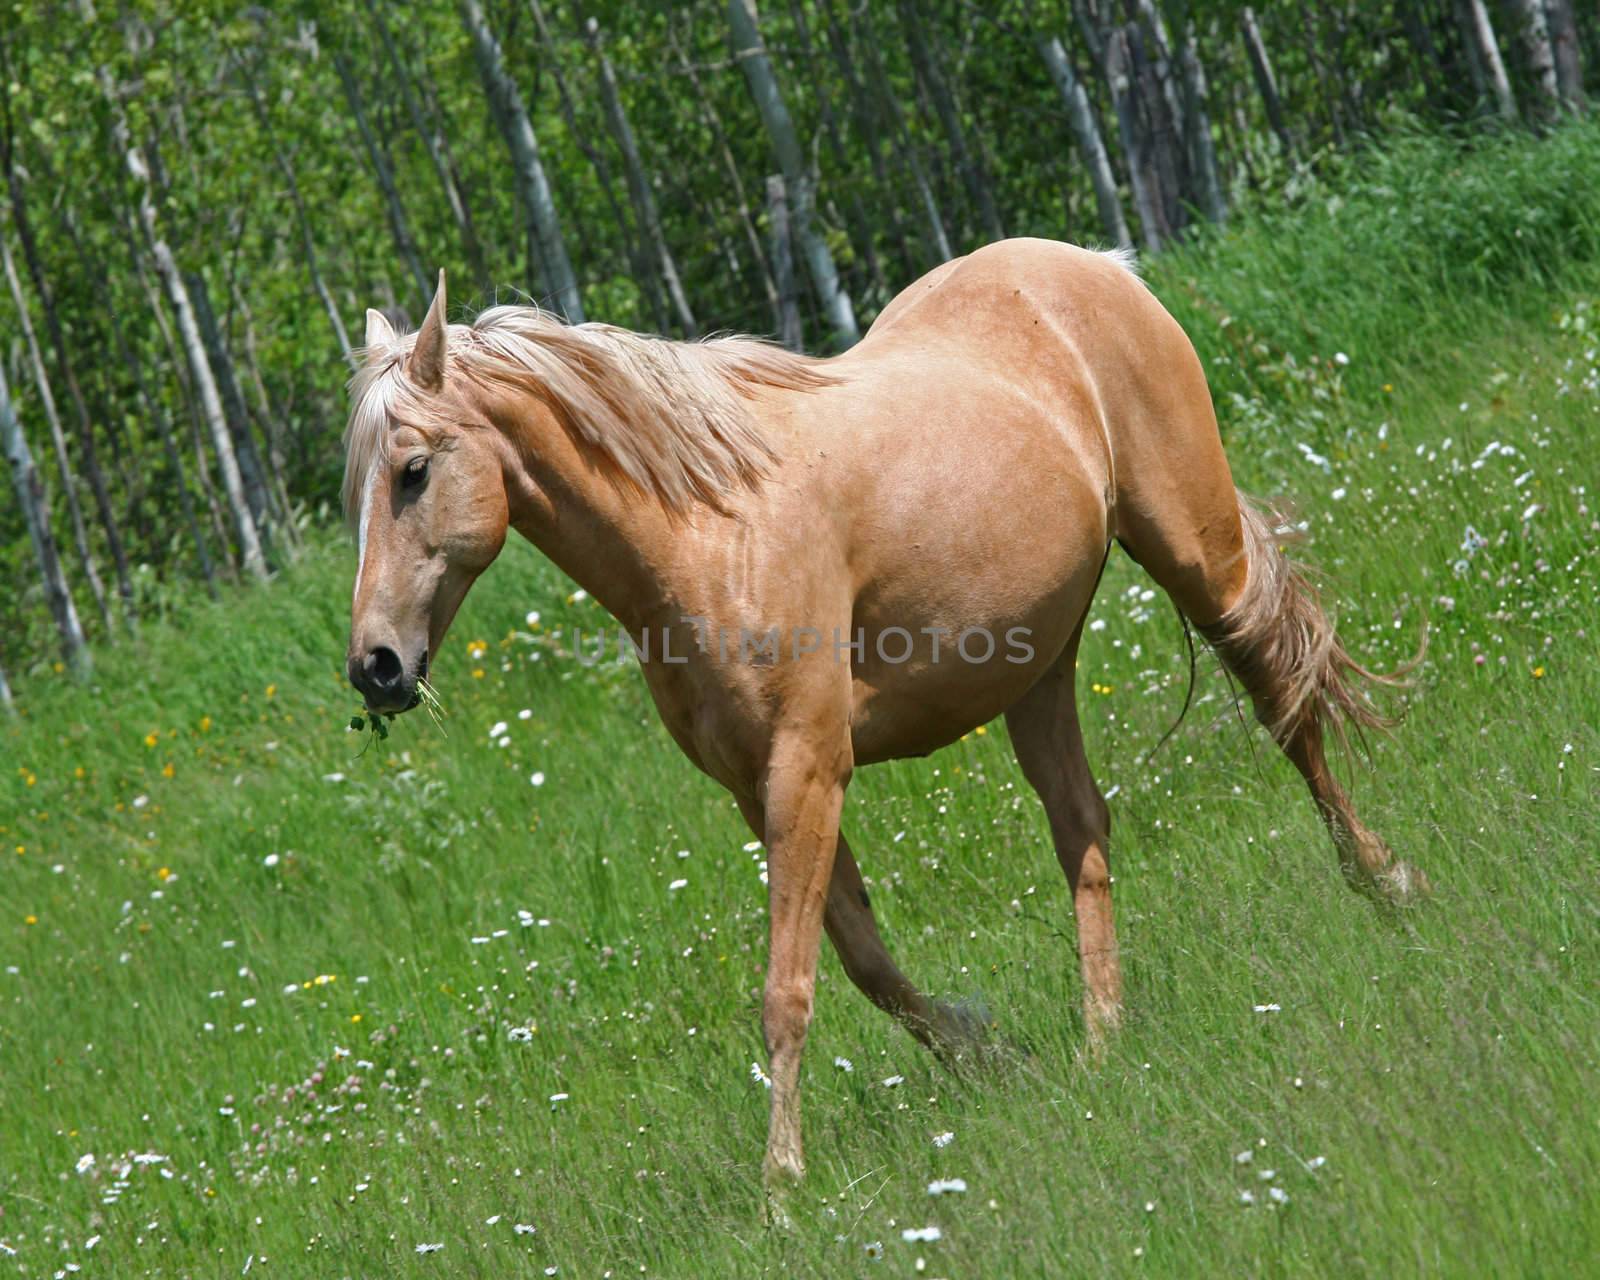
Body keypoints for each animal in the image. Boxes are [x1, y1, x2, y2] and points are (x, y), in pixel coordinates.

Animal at [344, 240, 1420, 1209]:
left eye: (412, 471)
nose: (374, 666)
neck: (710, 531)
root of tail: (1097, 266)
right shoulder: (759, 790)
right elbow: (863, 960)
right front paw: (989, 1051)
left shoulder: (808, 767)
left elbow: (787, 988)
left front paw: (781, 1187)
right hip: (1039, 666)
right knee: (1084, 826)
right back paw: (1100, 1040)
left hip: (1198, 557)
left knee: (1284, 703)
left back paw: (1384, 883)